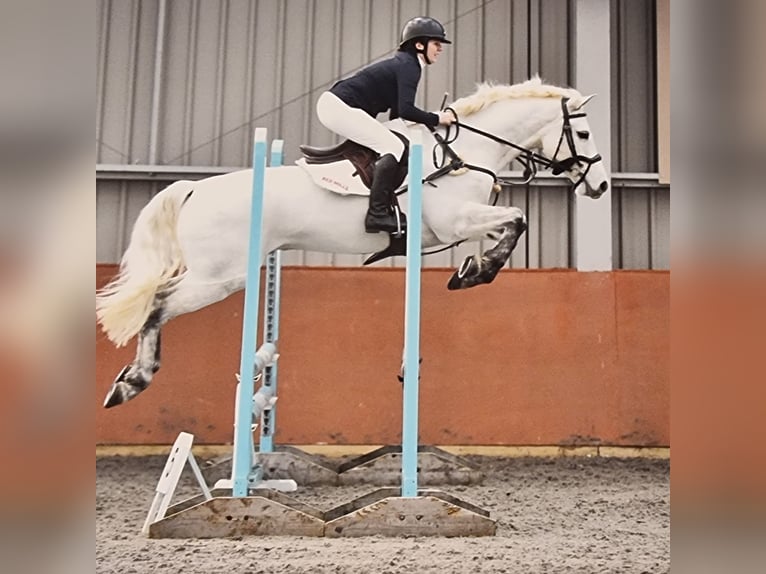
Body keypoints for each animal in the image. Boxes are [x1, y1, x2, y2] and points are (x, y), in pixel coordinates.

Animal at [97, 76, 612, 410]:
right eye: (584, 132)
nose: (602, 185)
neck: (468, 152)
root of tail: (194, 188)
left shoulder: (463, 223)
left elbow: (508, 227)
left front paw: (471, 270)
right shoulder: (456, 220)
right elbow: (519, 219)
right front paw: (476, 274)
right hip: (220, 277)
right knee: (158, 303)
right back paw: (133, 382)